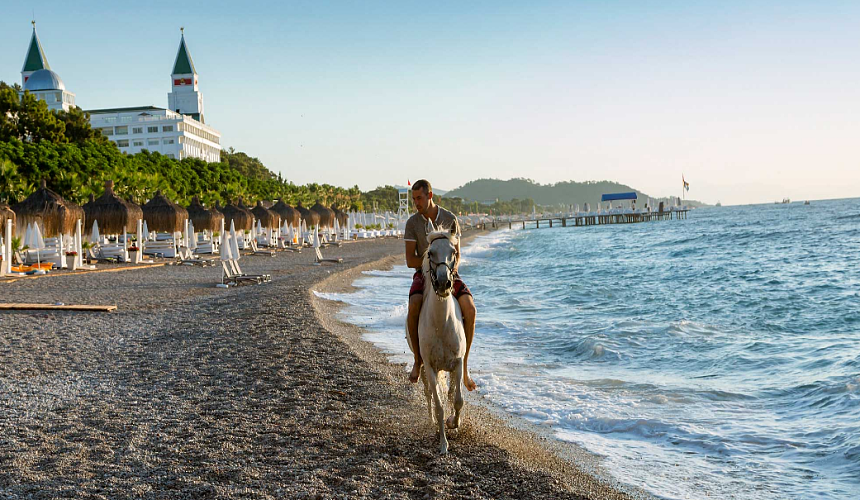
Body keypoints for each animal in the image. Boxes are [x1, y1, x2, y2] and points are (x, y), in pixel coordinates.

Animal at [406, 221, 466, 456]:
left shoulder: (457, 364)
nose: (443, 283)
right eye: (430, 253)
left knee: (450, 392)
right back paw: (431, 419)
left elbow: (457, 400)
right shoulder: (431, 367)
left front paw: (454, 423)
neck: (441, 323)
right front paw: (443, 444)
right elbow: (439, 404)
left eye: (453, 252)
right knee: (429, 393)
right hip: (422, 366)